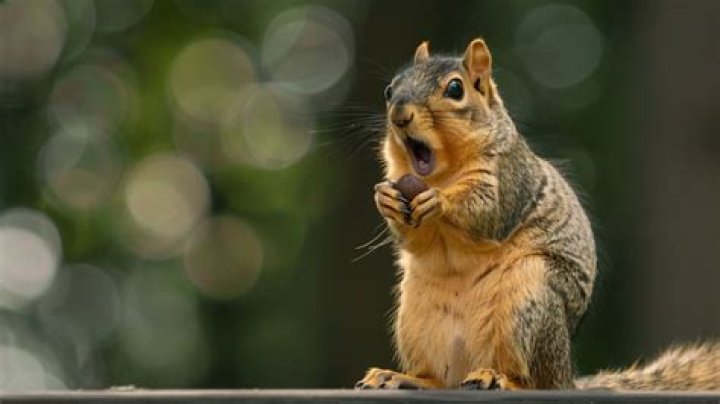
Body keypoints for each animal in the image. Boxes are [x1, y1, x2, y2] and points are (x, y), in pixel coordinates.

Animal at [355, 38, 720, 390]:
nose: (400, 115)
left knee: (534, 380)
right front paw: (386, 198)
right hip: (414, 318)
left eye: (455, 89)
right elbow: (411, 239)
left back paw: (501, 378)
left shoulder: (510, 177)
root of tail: (566, 376)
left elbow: (488, 210)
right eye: (389, 90)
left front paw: (440, 200)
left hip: (530, 298)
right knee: (439, 378)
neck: (443, 172)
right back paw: (403, 377)